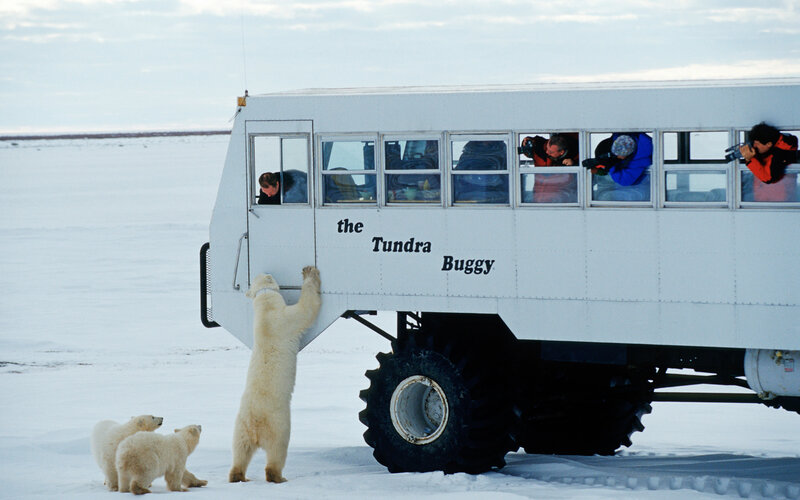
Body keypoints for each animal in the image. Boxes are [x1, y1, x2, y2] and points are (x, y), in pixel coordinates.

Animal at [228, 266, 322, 484]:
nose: (266, 271)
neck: (265, 311)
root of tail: (255, 427)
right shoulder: (284, 321)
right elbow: (306, 310)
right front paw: (309, 273)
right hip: (278, 424)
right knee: (277, 450)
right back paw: (278, 476)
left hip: (240, 426)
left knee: (240, 450)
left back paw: (238, 475)